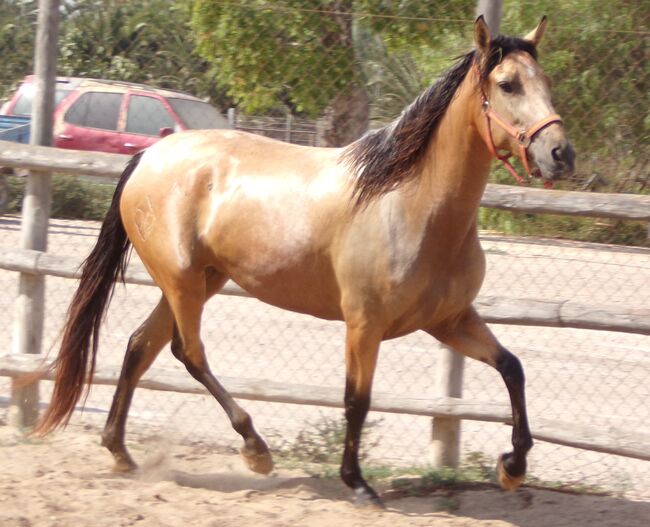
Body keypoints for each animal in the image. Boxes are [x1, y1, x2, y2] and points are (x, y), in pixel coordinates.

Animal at [34, 18, 572, 510]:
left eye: (546, 82)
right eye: (508, 84)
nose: (560, 154)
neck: (411, 204)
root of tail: (148, 156)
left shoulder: (449, 320)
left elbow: (512, 368)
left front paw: (512, 467)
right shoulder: (364, 324)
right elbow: (356, 400)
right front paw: (358, 484)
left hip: (199, 282)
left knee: (140, 345)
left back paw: (120, 451)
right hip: (182, 281)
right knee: (188, 353)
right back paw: (255, 449)